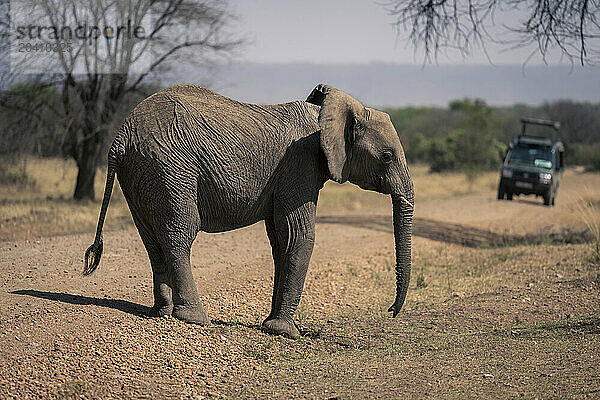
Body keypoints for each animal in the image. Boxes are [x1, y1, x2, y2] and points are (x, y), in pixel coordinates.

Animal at [84, 83, 412, 340]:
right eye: (387, 156)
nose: (390, 311)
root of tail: (120, 137)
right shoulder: (300, 165)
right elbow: (299, 236)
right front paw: (286, 333)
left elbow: (281, 241)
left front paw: (274, 325)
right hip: (169, 169)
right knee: (178, 235)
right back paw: (193, 318)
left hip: (140, 173)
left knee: (152, 240)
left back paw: (162, 313)